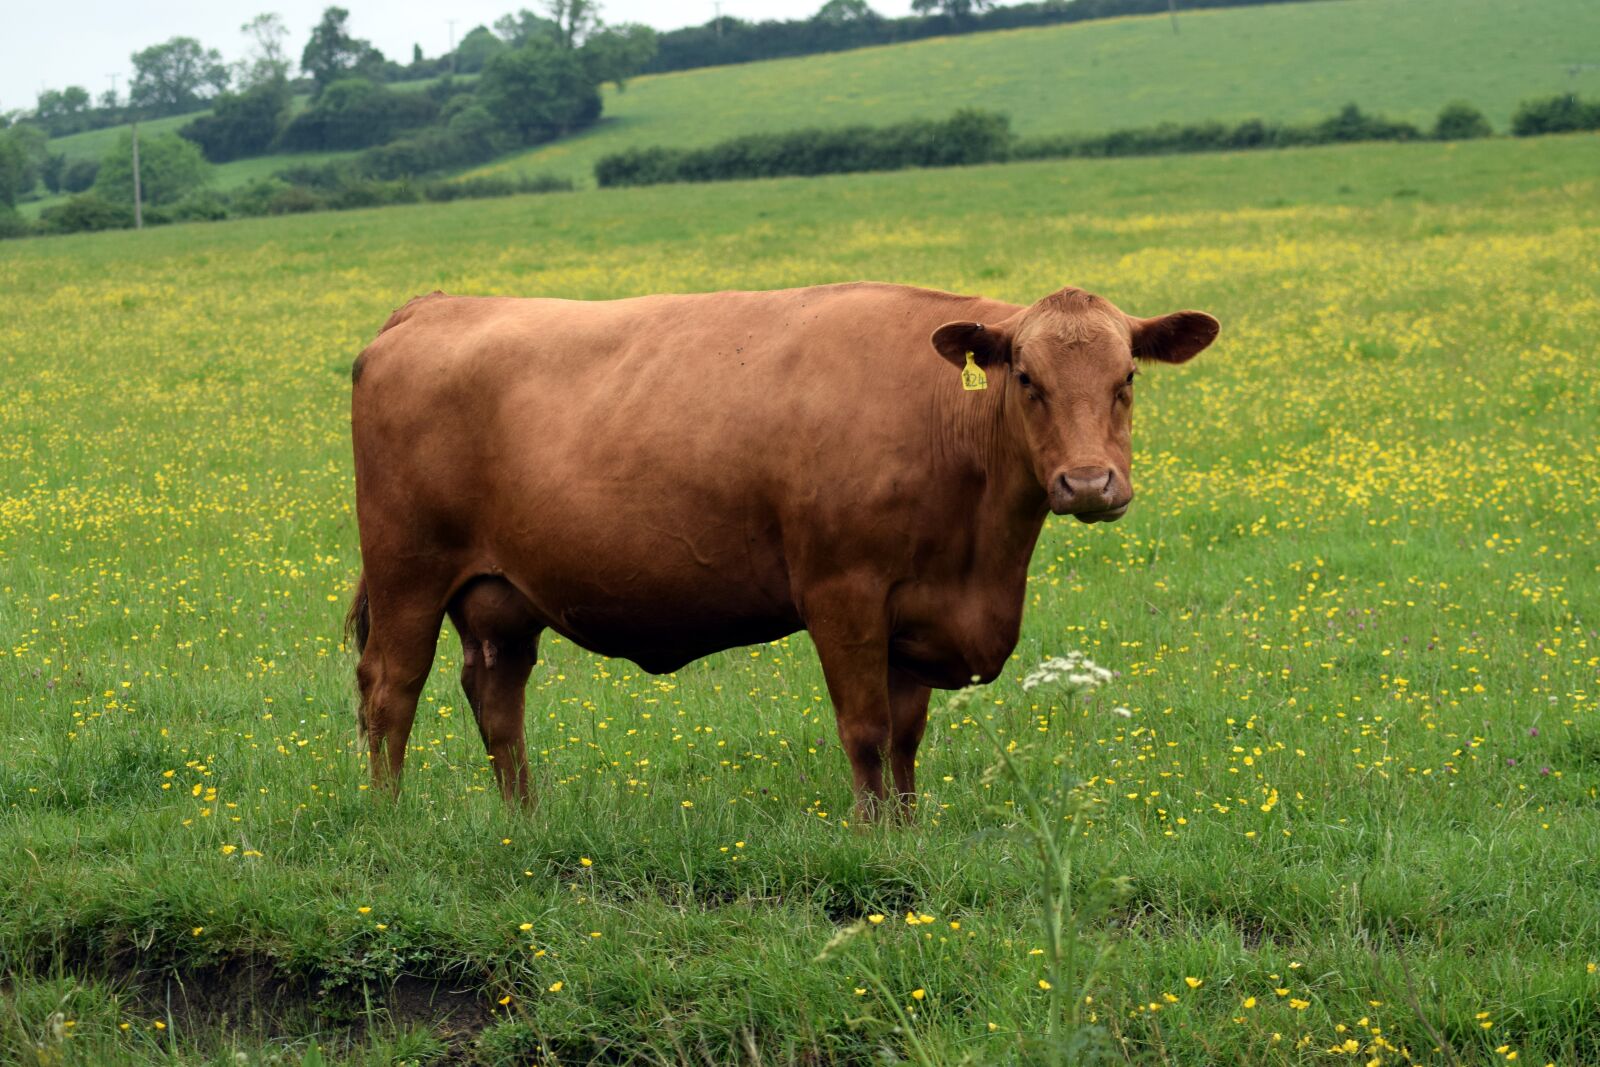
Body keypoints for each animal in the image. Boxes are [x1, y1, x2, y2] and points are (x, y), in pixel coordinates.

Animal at [345, 282, 1218, 819]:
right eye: (1028, 378)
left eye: (1127, 376)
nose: (1088, 481)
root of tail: (430, 307)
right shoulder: (843, 591)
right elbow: (865, 729)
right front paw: (872, 841)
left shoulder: (916, 613)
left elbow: (907, 735)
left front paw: (908, 832)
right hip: (407, 571)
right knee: (391, 689)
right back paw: (390, 818)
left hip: (500, 595)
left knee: (497, 697)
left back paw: (525, 820)